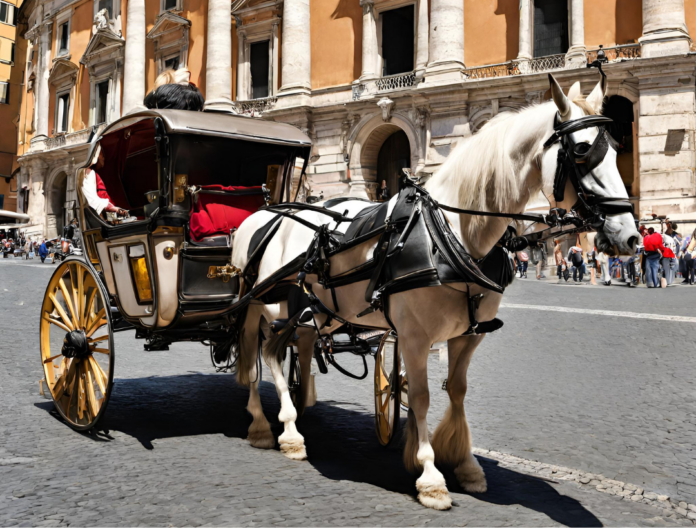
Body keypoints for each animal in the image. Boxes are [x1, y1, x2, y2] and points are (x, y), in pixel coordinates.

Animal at [228, 74, 636, 508]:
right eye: (581, 150)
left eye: (616, 148)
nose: (629, 236)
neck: (453, 233)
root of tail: (272, 213)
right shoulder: (413, 335)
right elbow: (422, 396)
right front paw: (429, 475)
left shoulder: (468, 335)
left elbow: (456, 390)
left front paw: (465, 464)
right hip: (269, 305)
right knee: (260, 353)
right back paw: (275, 429)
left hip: (313, 312)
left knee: (287, 350)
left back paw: (297, 409)